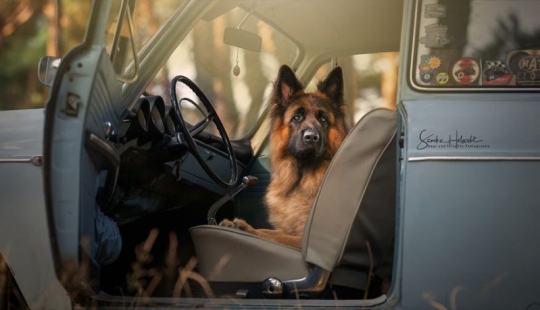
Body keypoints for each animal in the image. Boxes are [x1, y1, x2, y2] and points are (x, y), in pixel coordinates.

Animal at [220, 65, 350, 249]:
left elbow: (267, 234)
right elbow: (269, 231)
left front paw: (245, 228)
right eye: (297, 117)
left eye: (323, 119)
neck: (300, 179)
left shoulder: (302, 240)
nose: (311, 137)